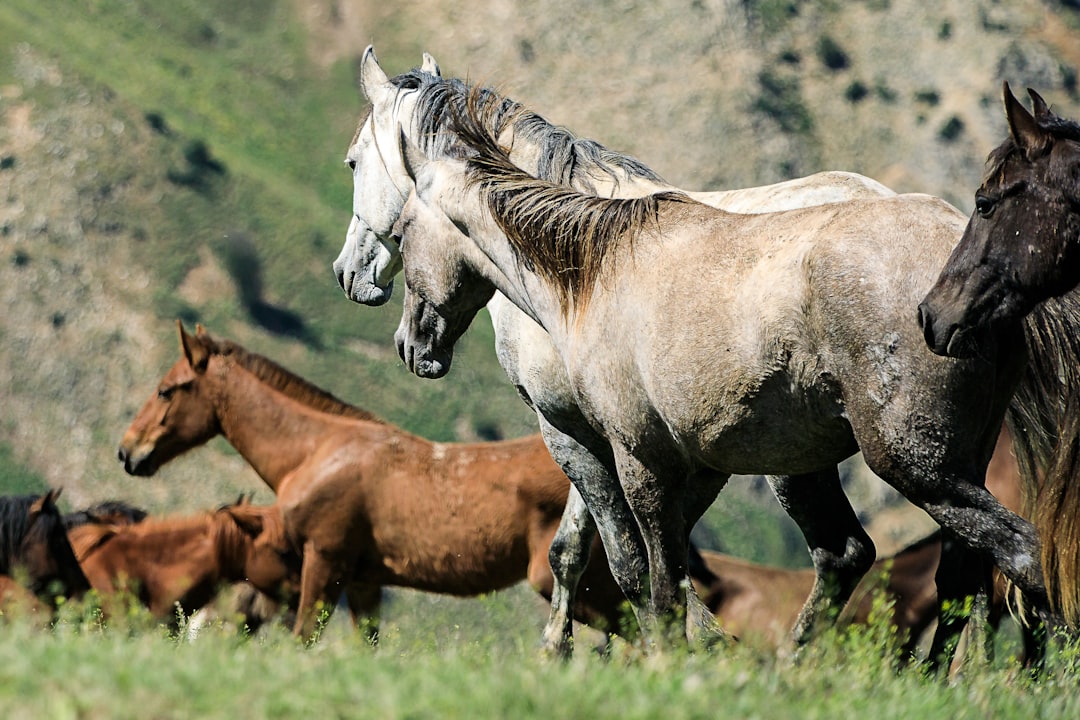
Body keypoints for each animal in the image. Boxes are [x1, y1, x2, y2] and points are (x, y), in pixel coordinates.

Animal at [117, 321, 687, 644]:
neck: (319, 450)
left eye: (168, 390)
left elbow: (302, 637)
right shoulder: (365, 580)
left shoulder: (324, 562)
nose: (128, 452)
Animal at [337, 50, 898, 656]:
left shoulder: (571, 431)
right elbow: (585, 547)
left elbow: (624, 556)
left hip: (794, 456)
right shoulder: (615, 435)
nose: (348, 274)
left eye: (353, 163)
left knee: (843, 553)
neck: (569, 255)